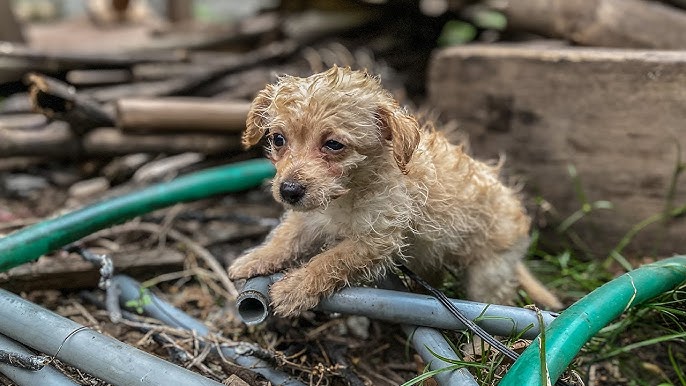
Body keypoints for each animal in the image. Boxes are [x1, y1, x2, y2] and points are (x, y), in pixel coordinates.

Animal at [228, 65, 560, 316]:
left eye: (333, 144)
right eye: (278, 139)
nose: (289, 190)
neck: (347, 194)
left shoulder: (375, 239)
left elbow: (330, 260)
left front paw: (294, 288)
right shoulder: (311, 217)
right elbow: (285, 237)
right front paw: (255, 258)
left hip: (489, 272)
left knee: (491, 305)